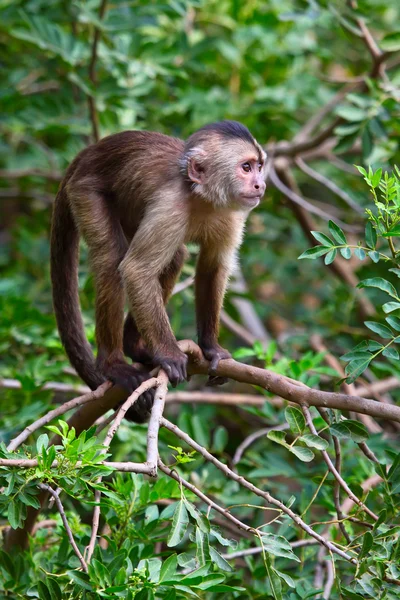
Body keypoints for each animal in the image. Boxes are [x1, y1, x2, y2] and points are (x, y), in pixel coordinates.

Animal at [51, 120, 268, 422]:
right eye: (246, 167)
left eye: (259, 166)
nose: (261, 184)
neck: (201, 195)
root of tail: (88, 153)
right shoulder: (170, 206)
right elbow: (136, 270)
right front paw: (169, 354)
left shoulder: (232, 213)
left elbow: (212, 269)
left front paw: (211, 348)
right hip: (85, 190)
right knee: (111, 258)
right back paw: (112, 364)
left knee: (175, 258)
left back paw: (136, 346)